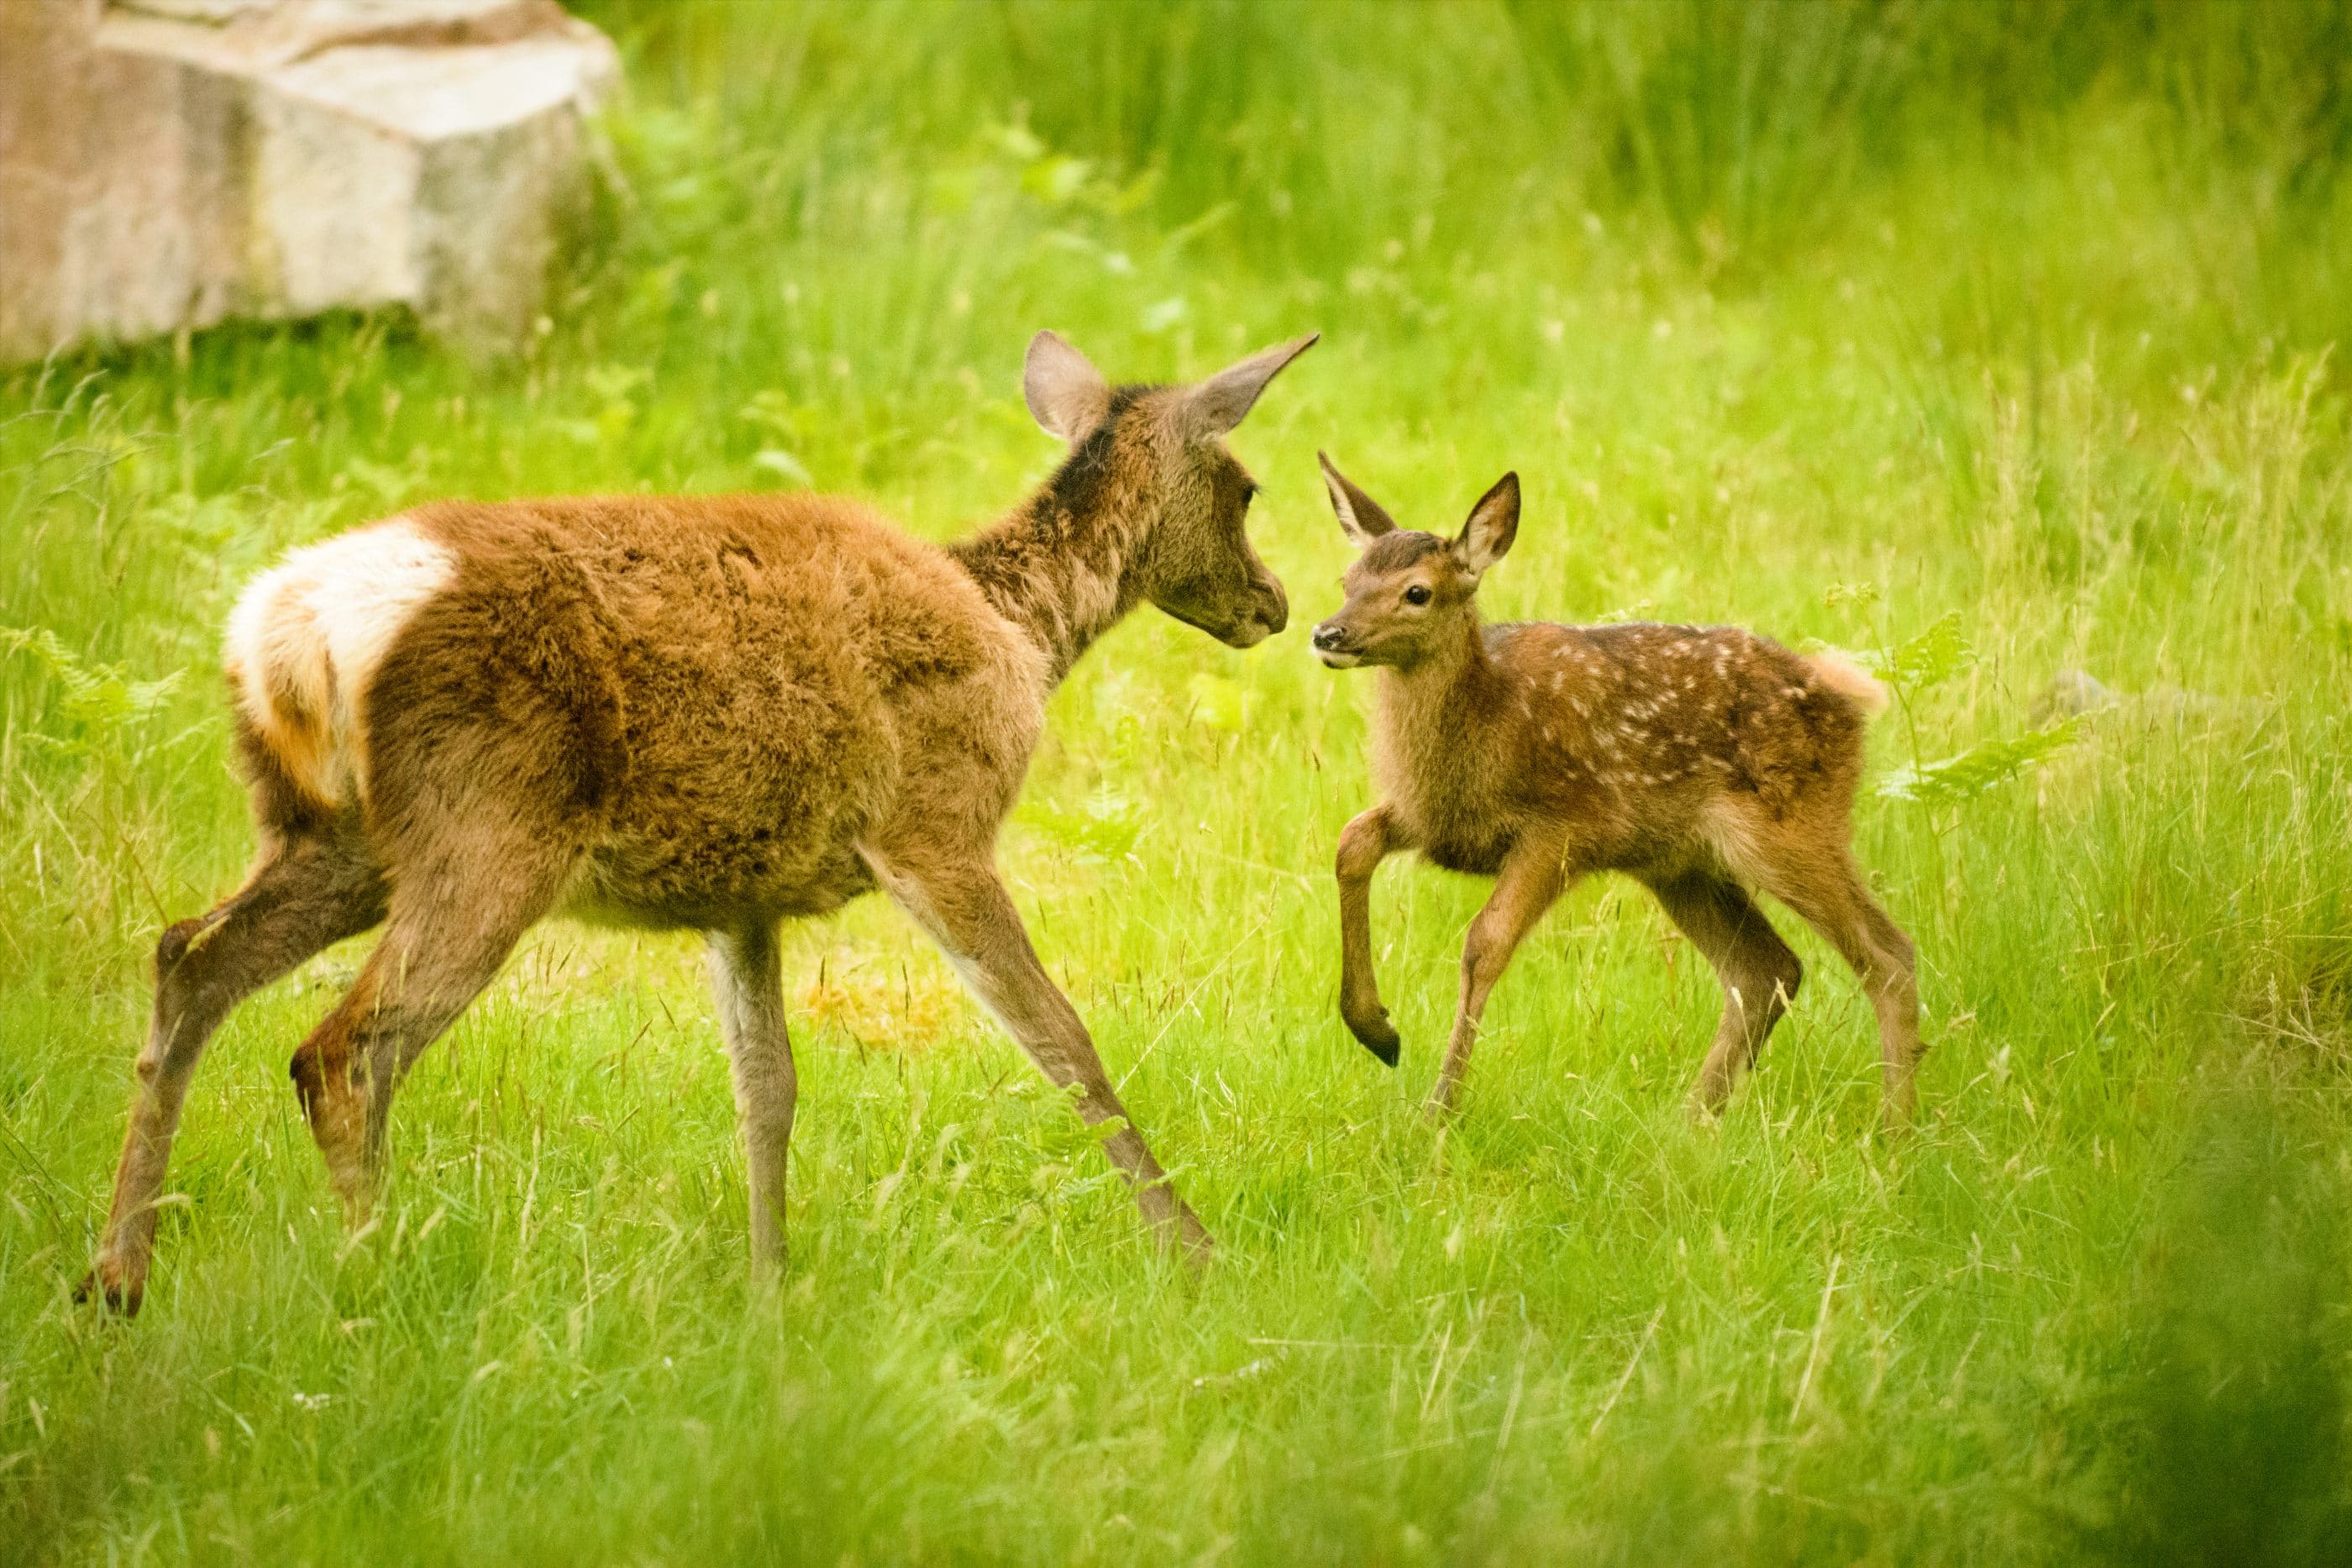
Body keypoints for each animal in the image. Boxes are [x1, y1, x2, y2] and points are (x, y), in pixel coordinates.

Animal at [82, 328, 1317, 1316]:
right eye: (1247, 487)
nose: (1275, 604)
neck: (1020, 631)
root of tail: (284, 632)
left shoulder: (745, 893)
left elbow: (766, 1088)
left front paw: (770, 1285)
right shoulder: (938, 821)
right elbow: (1062, 1039)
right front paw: (1194, 1251)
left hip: (330, 833)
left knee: (189, 956)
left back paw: (117, 1276)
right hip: (489, 823)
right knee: (340, 1048)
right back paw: (373, 1276)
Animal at [1317, 454, 1919, 1128]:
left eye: (1417, 592)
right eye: (1348, 579)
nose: (1328, 633)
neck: (1483, 732)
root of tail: (1849, 701)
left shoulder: (1567, 825)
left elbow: (1484, 943)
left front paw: (1438, 1113)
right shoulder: (1433, 819)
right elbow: (1352, 840)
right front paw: (1376, 1029)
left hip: (1792, 825)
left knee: (1889, 957)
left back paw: (1894, 1132)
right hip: (1680, 864)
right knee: (1767, 969)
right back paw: (1690, 1124)